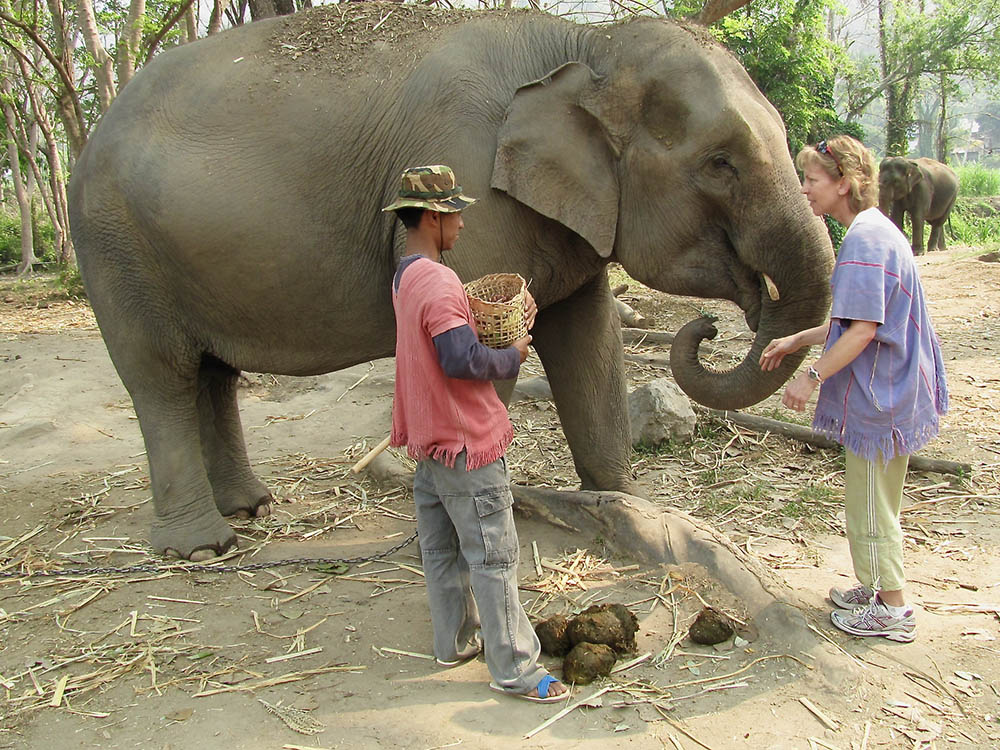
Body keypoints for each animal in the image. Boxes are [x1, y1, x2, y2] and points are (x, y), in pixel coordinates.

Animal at [68, 5, 834, 561]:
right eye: (720, 164)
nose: (708, 326)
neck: (583, 44)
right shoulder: (473, 186)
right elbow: (480, 356)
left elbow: (590, 340)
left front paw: (622, 507)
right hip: (115, 247)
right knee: (160, 376)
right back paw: (201, 546)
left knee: (213, 373)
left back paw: (250, 506)